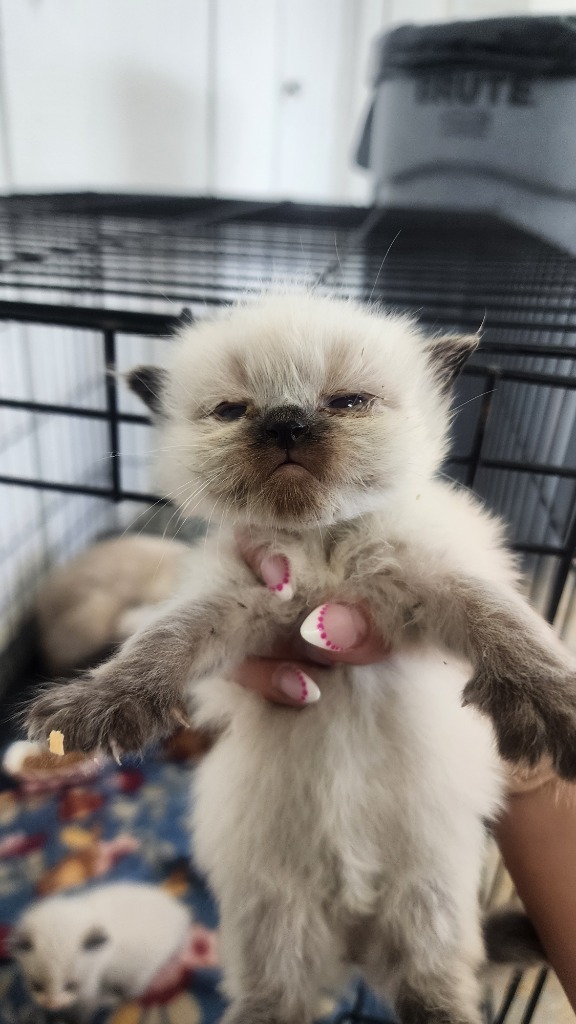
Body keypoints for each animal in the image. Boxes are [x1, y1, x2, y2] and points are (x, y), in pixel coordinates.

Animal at [10, 880, 190, 1015]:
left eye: (71, 986)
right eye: (36, 986)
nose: (51, 1005)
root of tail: (181, 915)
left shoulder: (91, 983)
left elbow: (86, 1007)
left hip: (143, 971)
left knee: (132, 993)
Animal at [28, 290, 573, 1024]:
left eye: (349, 402)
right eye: (232, 410)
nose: (286, 423)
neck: (323, 544)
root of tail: (355, 946)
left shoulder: (434, 582)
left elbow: (507, 624)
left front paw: (556, 705)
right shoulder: (236, 604)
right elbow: (162, 640)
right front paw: (98, 704)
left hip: (428, 902)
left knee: (436, 988)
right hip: (274, 920)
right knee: (278, 999)